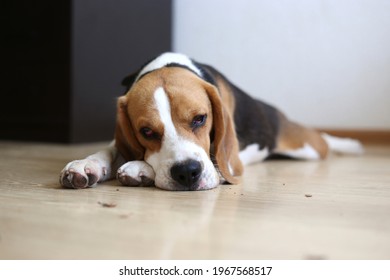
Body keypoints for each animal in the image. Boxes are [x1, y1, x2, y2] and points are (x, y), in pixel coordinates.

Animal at [58, 52, 362, 191]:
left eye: (200, 119)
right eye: (146, 131)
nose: (186, 173)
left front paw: (139, 168)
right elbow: (108, 149)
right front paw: (87, 164)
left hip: (307, 147)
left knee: (324, 141)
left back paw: (350, 144)